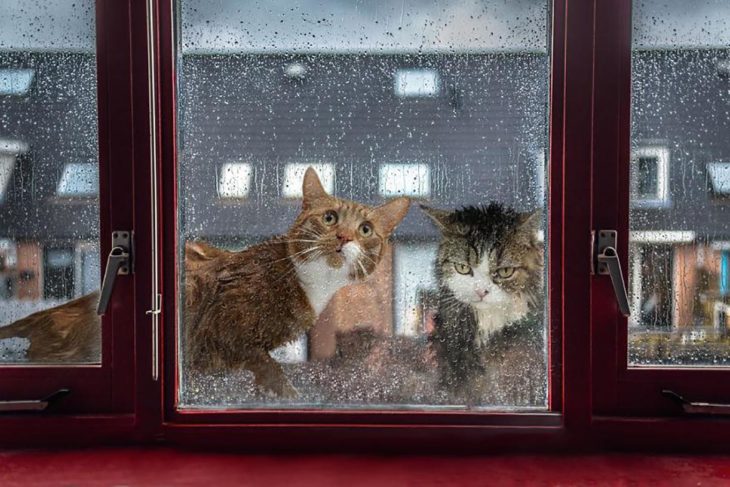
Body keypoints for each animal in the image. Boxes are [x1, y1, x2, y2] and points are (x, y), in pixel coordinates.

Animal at [183, 170, 410, 398]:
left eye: (365, 230)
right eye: (329, 218)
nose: (344, 237)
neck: (314, 283)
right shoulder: (224, 328)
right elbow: (268, 367)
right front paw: (288, 393)